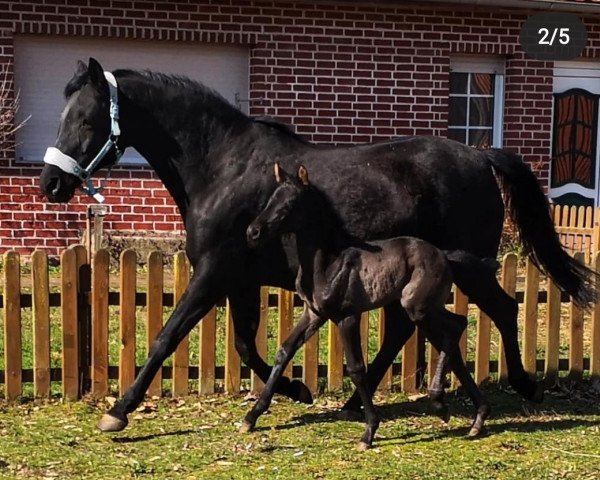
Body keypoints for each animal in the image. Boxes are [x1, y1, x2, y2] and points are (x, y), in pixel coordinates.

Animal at [243, 165, 492, 450]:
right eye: (272, 198)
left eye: (290, 203)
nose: (253, 232)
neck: (327, 265)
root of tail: (445, 255)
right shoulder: (314, 314)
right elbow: (284, 351)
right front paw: (251, 417)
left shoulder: (347, 317)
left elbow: (356, 369)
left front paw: (369, 431)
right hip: (424, 311)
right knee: (453, 337)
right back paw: (474, 417)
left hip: (417, 306)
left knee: (456, 325)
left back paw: (441, 402)